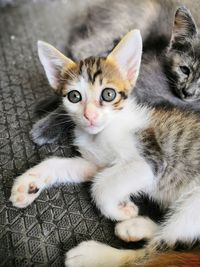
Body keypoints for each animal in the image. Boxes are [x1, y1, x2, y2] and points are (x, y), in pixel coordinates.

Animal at [9, 30, 200, 266]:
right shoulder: (96, 162)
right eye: (74, 96)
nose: (90, 116)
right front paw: (28, 183)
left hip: (194, 205)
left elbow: (101, 185)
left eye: (108, 94)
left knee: (157, 251)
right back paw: (136, 227)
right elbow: (62, 165)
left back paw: (93, 254)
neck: (100, 134)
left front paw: (119, 210)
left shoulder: (151, 161)